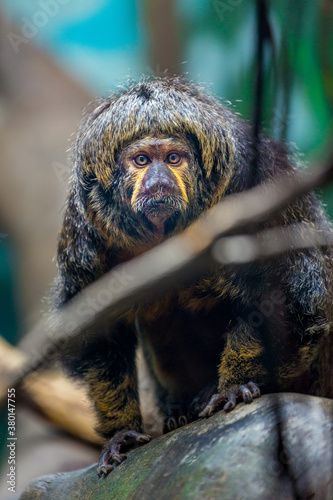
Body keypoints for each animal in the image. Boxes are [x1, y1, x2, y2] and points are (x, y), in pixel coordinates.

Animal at [52, 77, 332, 476]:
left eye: (173, 158)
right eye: (141, 160)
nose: (159, 182)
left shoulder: (258, 185)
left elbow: (292, 298)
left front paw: (232, 385)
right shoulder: (85, 230)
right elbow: (97, 332)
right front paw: (122, 432)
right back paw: (178, 410)